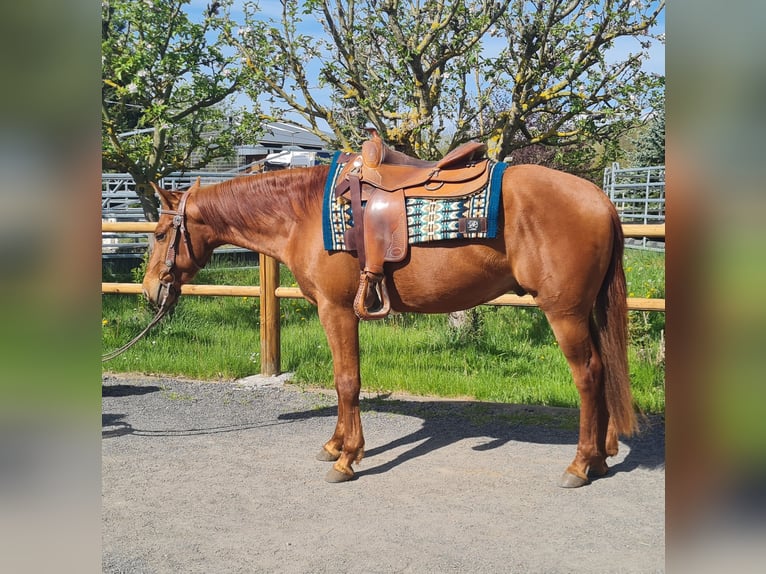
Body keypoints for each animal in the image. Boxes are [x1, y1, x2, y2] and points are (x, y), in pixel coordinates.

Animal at [142, 159, 636, 488]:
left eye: (161, 234)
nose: (150, 292)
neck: (302, 214)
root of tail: (601, 200)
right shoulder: (341, 312)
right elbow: (345, 380)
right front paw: (335, 445)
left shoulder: (336, 309)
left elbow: (346, 381)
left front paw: (347, 459)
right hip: (583, 312)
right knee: (604, 371)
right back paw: (601, 460)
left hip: (564, 313)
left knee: (589, 376)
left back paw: (579, 465)